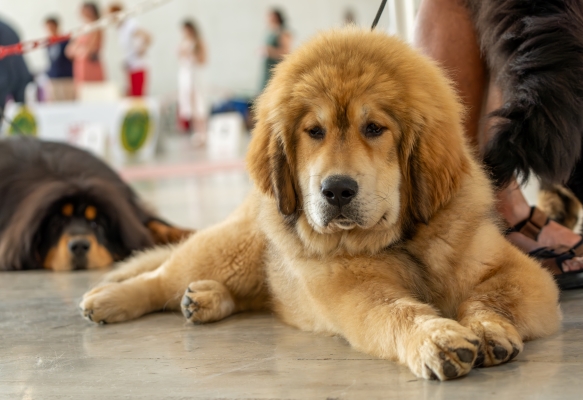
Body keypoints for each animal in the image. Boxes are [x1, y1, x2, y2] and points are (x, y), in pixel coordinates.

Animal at [81, 28, 560, 382]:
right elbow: (399, 312)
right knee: (162, 276)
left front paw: (487, 328)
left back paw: (205, 299)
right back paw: (109, 299)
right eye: (314, 131)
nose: (337, 190)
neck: (400, 240)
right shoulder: (355, 293)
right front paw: (437, 337)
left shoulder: (521, 273)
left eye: (374, 128)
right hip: (231, 248)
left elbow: (491, 296)